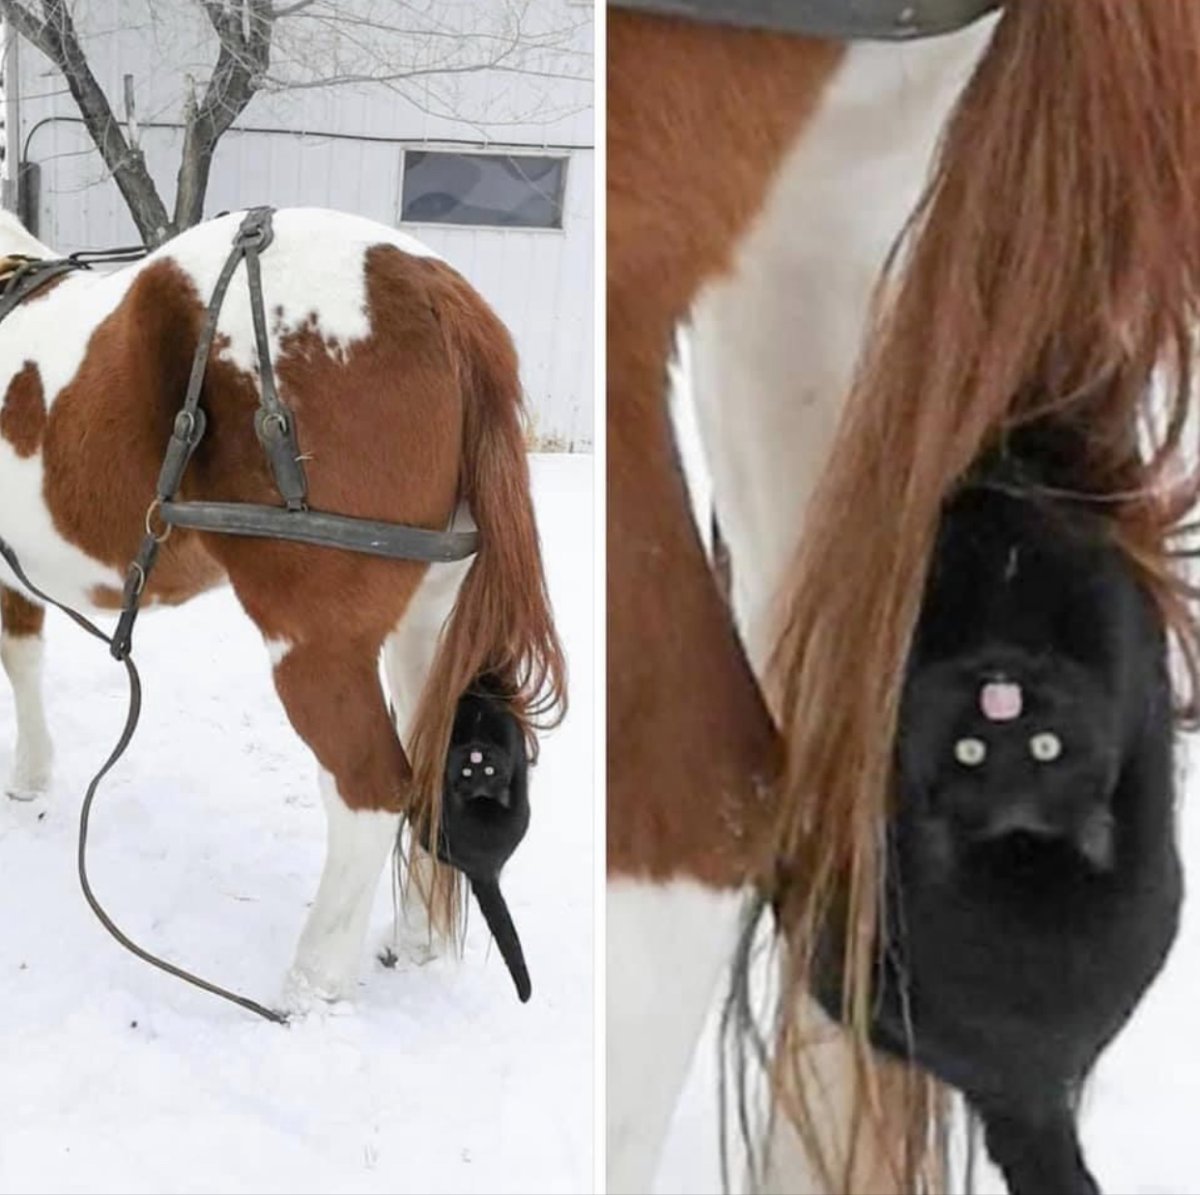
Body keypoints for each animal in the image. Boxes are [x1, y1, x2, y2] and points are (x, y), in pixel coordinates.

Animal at [0, 205, 565, 1013]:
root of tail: (435, 291)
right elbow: (26, 652)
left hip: (314, 641)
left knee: (369, 789)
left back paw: (312, 983)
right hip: (426, 623)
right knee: (430, 759)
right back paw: (417, 937)